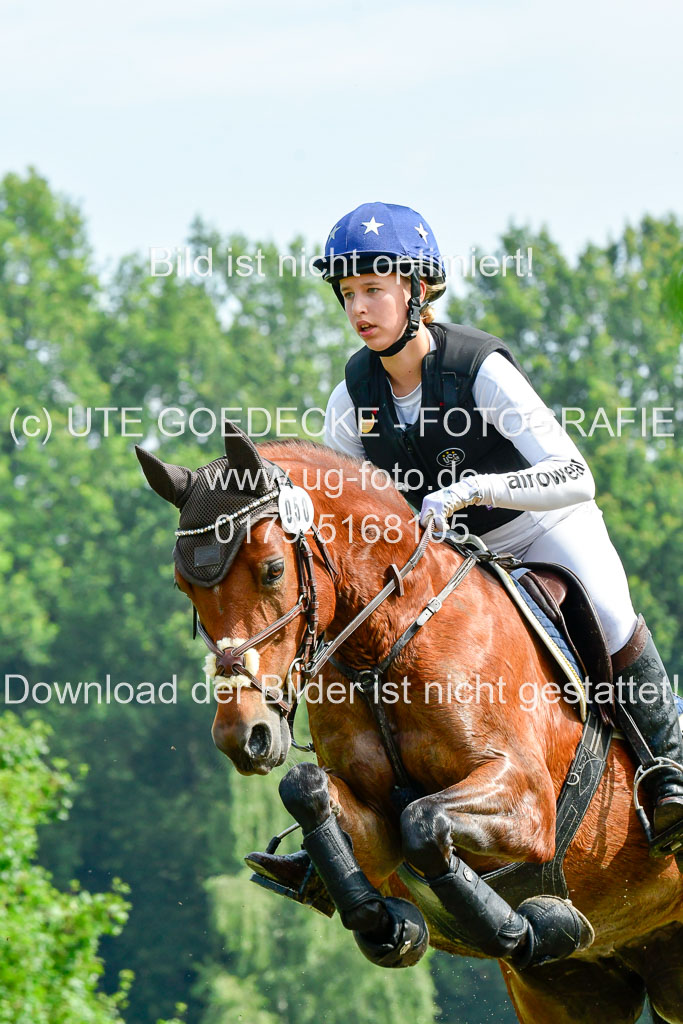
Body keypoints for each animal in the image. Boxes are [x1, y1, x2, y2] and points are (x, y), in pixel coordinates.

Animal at [136, 428, 683, 1024]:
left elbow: (422, 821)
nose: (243, 735)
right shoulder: (373, 824)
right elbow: (308, 791)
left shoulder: (527, 799)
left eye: (273, 570)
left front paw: (534, 927)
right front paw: (389, 925)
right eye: (184, 588)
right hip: (578, 992)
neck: (385, 642)